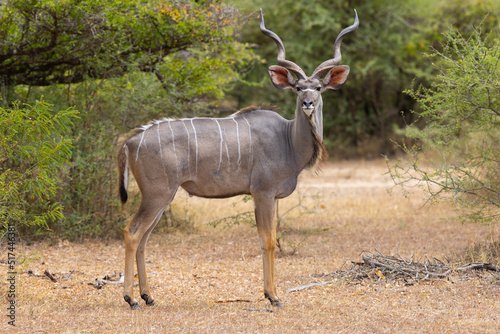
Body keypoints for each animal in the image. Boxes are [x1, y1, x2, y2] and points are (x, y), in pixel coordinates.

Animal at [117, 9, 360, 310]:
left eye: (318, 87)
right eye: (297, 88)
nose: (307, 103)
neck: (288, 139)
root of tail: (130, 141)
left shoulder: (271, 197)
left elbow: (270, 238)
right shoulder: (262, 193)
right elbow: (267, 241)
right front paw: (273, 296)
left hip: (162, 198)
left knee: (144, 238)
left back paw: (148, 296)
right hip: (156, 195)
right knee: (132, 233)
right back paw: (131, 298)